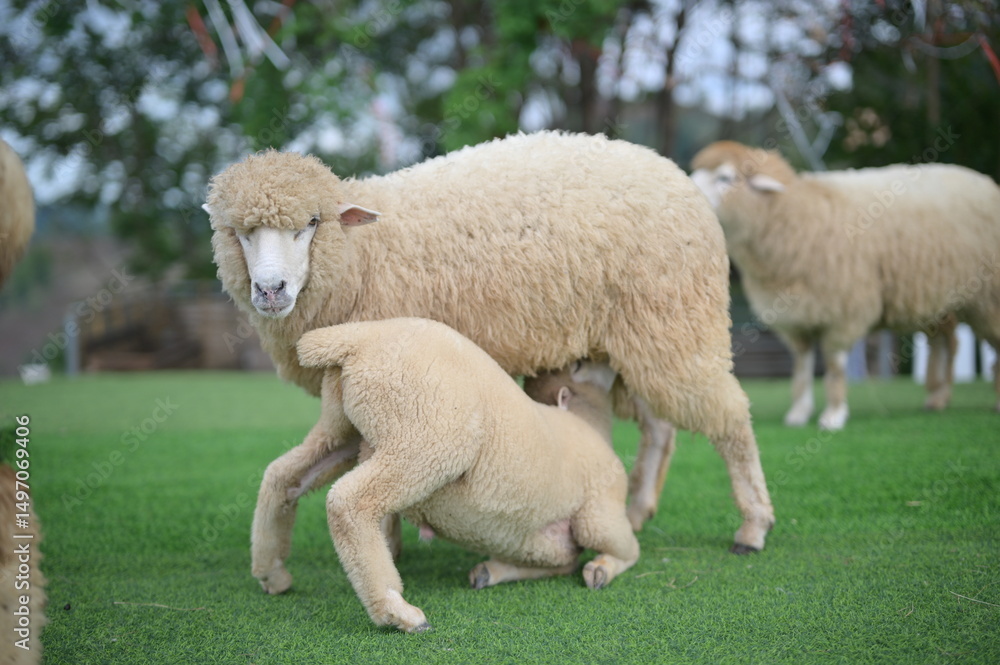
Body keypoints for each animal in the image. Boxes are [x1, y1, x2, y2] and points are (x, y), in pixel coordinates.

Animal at [206, 131, 775, 580]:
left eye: (311, 222)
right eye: (240, 232)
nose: (271, 290)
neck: (363, 253)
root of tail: (676, 176)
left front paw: (390, 544)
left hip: (676, 323)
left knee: (729, 420)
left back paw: (752, 526)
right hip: (633, 340)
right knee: (661, 427)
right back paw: (637, 511)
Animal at [286, 317, 639, 633]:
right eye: (579, 366)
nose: (603, 355)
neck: (585, 424)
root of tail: (355, 338)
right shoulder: (601, 498)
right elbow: (628, 549)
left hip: (339, 429)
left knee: (283, 478)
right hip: (424, 440)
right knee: (348, 502)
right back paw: (398, 611)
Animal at [690, 140, 1000, 429]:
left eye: (725, 177)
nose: (691, 195)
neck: (793, 218)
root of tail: (985, 181)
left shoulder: (844, 310)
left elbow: (835, 365)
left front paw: (833, 415)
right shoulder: (795, 316)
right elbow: (801, 366)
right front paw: (798, 414)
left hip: (986, 295)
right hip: (934, 295)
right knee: (945, 341)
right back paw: (937, 397)